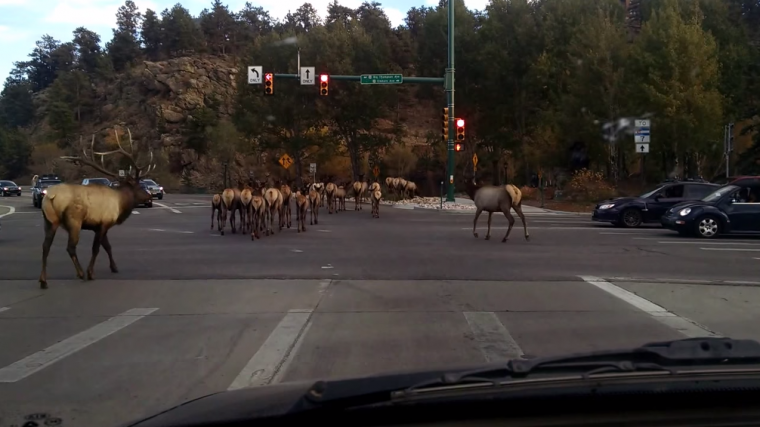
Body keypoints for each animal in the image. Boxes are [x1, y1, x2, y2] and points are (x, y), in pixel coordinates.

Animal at [40, 129, 157, 290]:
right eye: (140, 186)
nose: (149, 195)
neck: (120, 203)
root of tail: (51, 196)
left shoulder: (98, 226)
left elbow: (108, 246)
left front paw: (114, 267)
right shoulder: (104, 223)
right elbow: (96, 248)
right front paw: (91, 273)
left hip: (49, 220)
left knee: (45, 246)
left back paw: (43, 281)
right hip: (74, 220)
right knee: (70, 247)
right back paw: (81, 273)